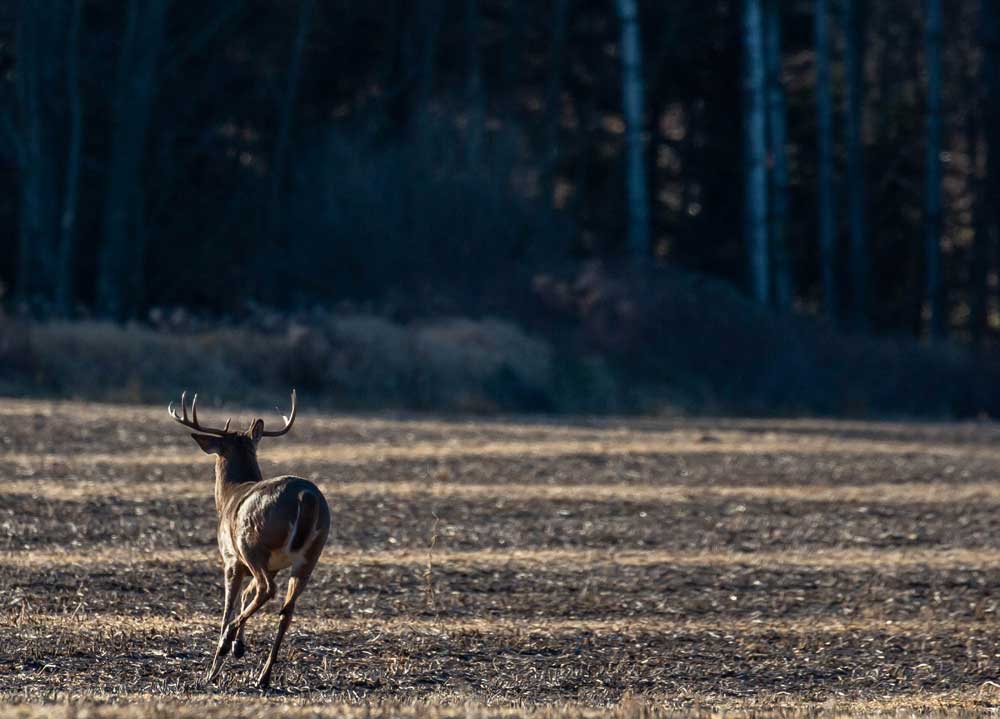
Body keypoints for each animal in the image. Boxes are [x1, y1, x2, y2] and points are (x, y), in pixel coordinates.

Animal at [167, 390, 332, 688]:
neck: (229, 495)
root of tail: (307, 498)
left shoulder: (231, 559)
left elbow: (229, 604)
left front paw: (217, 664)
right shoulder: (274, 566)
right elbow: (246, 595)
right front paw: (239, 648)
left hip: (253, 542)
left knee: (267, 590)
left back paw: (226, 644)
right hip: (311, 553)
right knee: (287, 609)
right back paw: (263, 676)